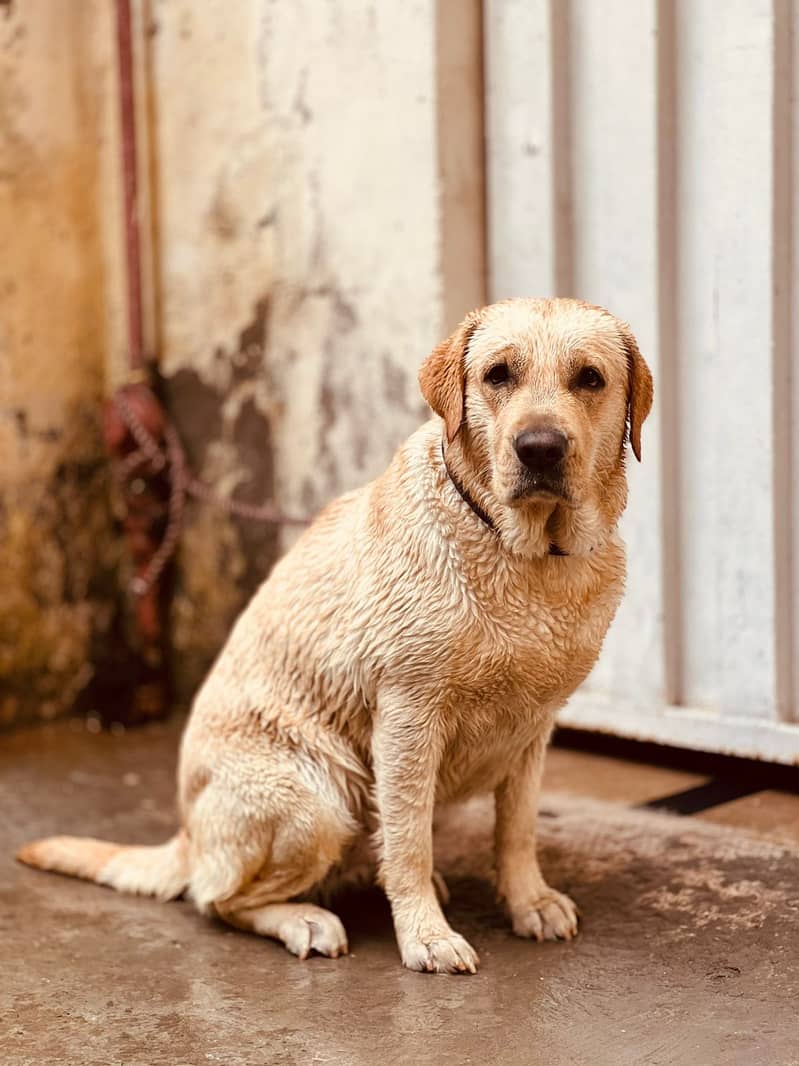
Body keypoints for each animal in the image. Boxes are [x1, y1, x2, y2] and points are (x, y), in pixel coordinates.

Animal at [18, 298, 651, 976]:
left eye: (589, 379)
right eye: (498, 375)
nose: (539, 449)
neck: (526, 555)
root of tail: (187, 836)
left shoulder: (533, 729)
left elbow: (518, 829)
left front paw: (528, 901)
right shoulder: (407, 715)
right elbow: (410, 842)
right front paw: (425, 934)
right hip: (319, 800)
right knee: (215, 899)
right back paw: (306, 919)